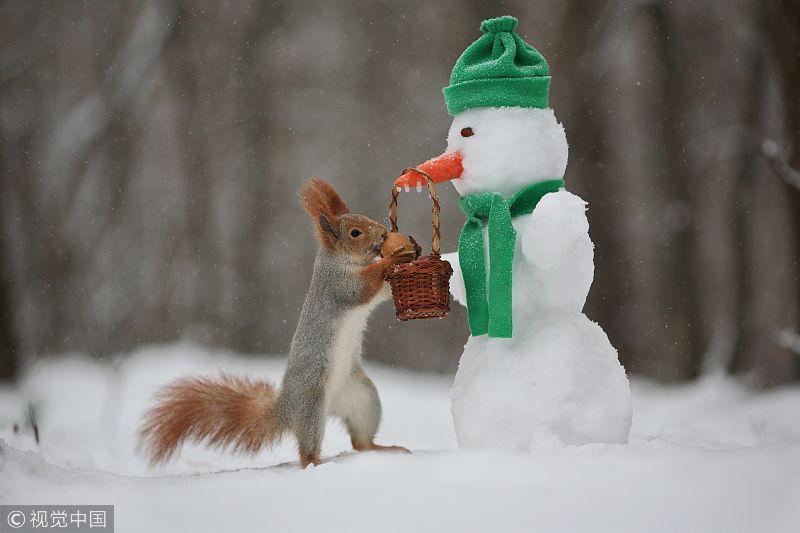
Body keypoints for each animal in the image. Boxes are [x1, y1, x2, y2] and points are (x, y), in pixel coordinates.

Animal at [138, 178, 412, 466]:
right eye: (355, 233)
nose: (383, 234)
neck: (343, 260)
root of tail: (286, 410)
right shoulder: (336, 284)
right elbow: (362, 288)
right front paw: (391, 258)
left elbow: (381, 292)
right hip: (312, 405)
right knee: (307, 451)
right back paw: (318, 462)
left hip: (362, 397)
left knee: (360, 442)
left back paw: (383, 448)